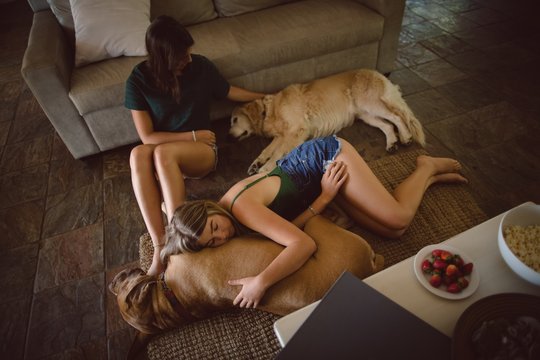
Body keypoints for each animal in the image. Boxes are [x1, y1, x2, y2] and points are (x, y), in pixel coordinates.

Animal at [230, 68, 424, 174]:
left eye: (234, 120)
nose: (228, 137)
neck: (270, 110)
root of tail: (377, 72)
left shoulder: (297, 130)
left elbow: (277, 152)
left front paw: (265, 168)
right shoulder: (282, 135)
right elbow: (267, 150)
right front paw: (256, 163)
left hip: (370, 103)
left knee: (397, 117)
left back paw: (406, 137)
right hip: (366, 114)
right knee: (388, 125)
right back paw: (392, 142)